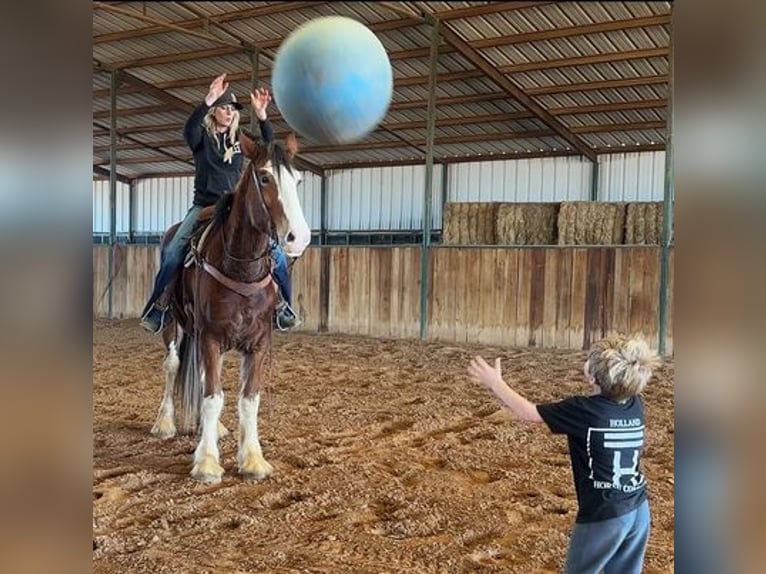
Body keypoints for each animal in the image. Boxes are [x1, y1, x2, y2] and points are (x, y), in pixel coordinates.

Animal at [149, 133, 308, 484]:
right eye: (265, 177)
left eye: (298, 181)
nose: (299, 238)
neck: (240, 267)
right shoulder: (210, 337)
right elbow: (213, 397)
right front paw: (207, 463)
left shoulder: (259, 342)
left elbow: (248, 399)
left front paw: (253, 460)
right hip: (173, 325)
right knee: (172, 366)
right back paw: (164, 423)